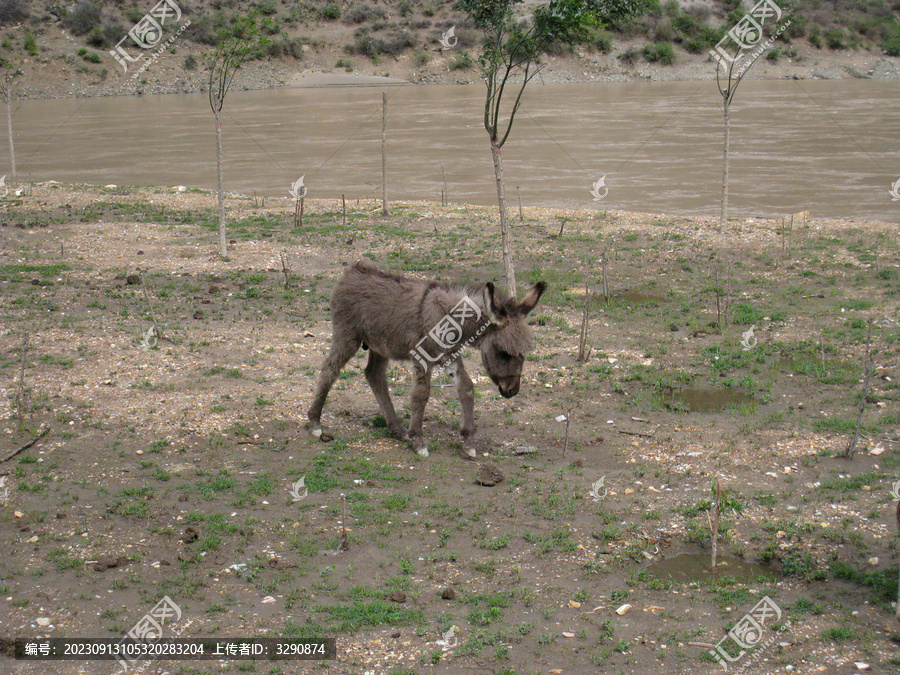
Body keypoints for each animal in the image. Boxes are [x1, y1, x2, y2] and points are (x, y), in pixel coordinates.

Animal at [308, 262, 548, 456]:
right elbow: (421, 394)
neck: (449, 319)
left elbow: (467, 389)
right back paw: (315, 423)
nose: (512, 391)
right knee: (329, 369)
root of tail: (353, 270)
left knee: (374, 374)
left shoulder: (451, 357)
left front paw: (469, 443)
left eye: (524, 353)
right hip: (348, 336)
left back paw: (397, 428)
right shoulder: (422, 358)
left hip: (379, 345)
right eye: (503, 352)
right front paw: (419, 442)